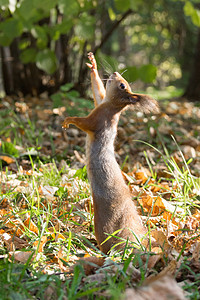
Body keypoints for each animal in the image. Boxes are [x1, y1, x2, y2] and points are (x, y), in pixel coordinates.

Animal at [62, 52, 159, 254]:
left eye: (123, 85)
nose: (115, 73)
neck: (113, 106)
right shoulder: (101, 101)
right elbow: (97, 91)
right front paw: (92, 65)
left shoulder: (99, 118)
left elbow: (86, 123)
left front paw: (70, 120)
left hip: (103, 221)